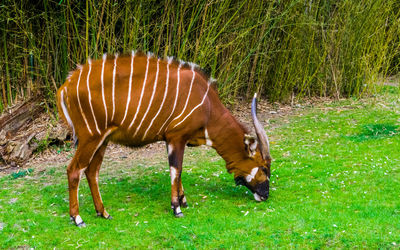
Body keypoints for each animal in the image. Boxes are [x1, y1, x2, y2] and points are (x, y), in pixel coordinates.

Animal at [56, 50, 272, 227]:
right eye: (263, 168)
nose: (266, 195)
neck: (208, 106)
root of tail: (66, 85)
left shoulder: (172, 140)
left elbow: (178, 171)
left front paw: (183, 200)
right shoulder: (176, 137)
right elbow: (176, 169)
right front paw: (176, 208)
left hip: (103, 139)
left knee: (92, 171)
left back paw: (103, 212)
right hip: (91, 136)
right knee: (74, 170)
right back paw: (77, 218)